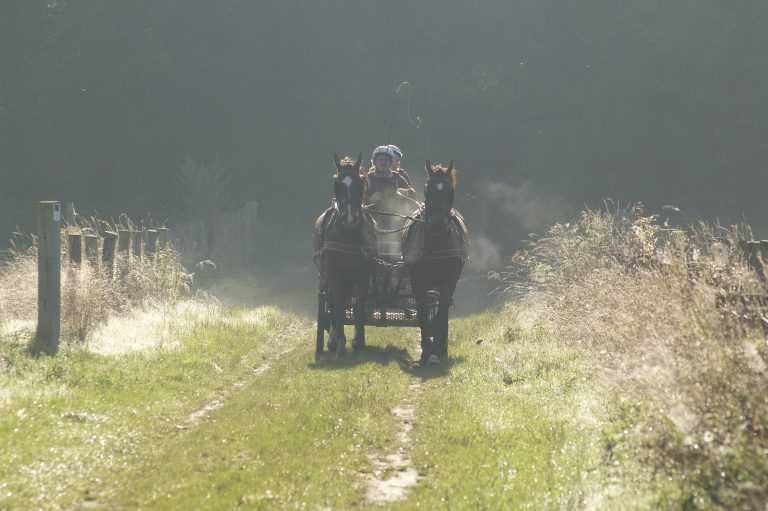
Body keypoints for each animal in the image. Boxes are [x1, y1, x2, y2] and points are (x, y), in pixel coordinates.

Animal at [310, 154, 374, 358]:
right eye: (336, 184)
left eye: (360, 183)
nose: (350, 217)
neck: (349, 235)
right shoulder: (335, 273)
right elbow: (337, 303)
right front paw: (339, 343)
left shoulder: (363, 274)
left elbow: (359, 304)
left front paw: (358, 341)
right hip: (326, 275)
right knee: (332, 300)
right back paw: (332, 338)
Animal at [402, 160, 468, 364]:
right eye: (427, 190)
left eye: (450, 191)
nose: (438, 225)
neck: (436, 244)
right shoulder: (418, 281)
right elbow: (423, 313)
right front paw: (425, 349)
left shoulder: (448, 282)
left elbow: (440, 315)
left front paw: (435, 351)